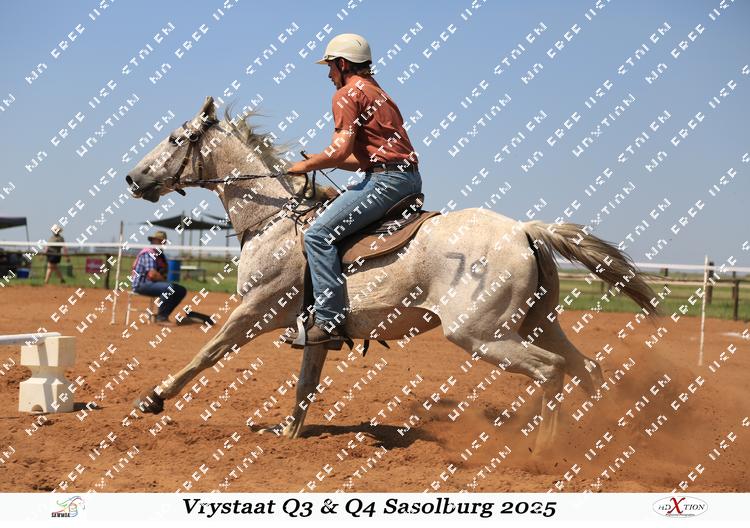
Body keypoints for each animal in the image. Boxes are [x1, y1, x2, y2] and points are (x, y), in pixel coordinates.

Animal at [126, 96, 658, 451]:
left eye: (175, 138)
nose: (134, 177)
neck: (276, 222)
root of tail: (526, 230)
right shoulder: (316, 331)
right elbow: (304, 387)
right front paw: (288, 434)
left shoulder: (255, 308)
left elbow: (206, 353)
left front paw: (153, 399)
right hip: (538, 322)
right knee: (586, 368)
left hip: (481, 334)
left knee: (552, 371)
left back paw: (545, 449)